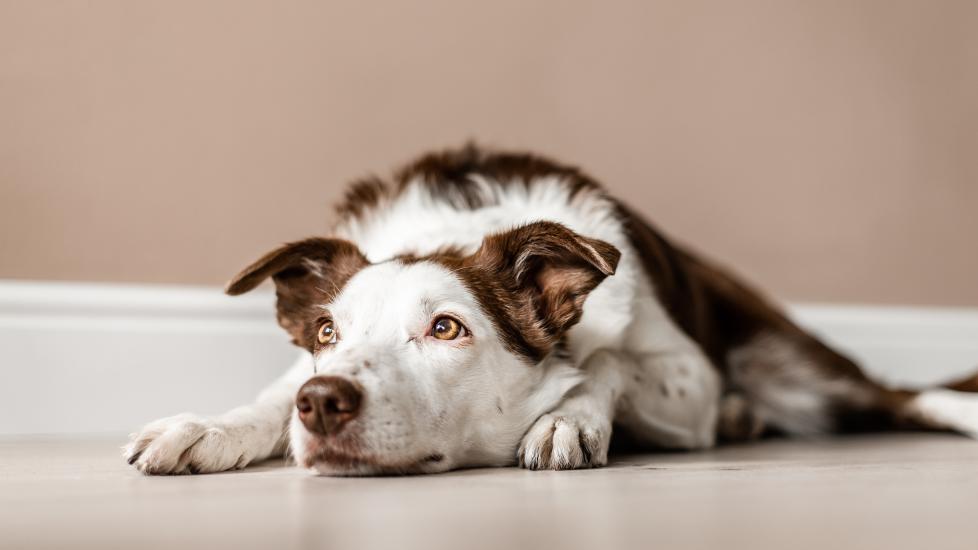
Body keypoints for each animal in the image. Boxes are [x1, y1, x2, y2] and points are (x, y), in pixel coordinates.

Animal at [126, 144, 976, 476]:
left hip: (794, 365)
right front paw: (207, 428)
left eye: (446, 328)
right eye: (327, 334)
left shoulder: (689, 378)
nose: (324, 402)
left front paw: (568, 418)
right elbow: (268, 397)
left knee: (901, 395)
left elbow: (607, 357)